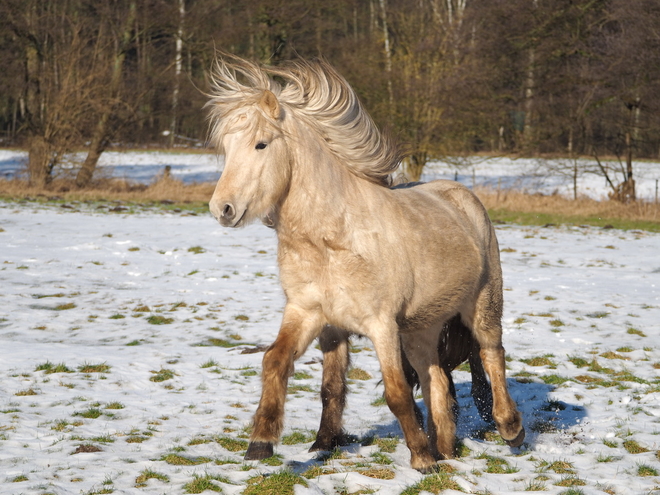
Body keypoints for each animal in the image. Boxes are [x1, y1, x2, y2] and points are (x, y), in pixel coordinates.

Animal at [208, 55, 524, 472]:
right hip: (421, 328)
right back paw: (445, 448)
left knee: (491, 354)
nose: (222, 209)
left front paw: (421, 459)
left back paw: (509, 429)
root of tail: (462, 198)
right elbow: (278, 362)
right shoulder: (308, 312)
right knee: (437, 380)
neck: (332, 241)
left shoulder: (381, 325)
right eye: (227, 147)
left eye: (260, 144)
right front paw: (261, 442)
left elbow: (397, 393)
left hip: (482, 305)